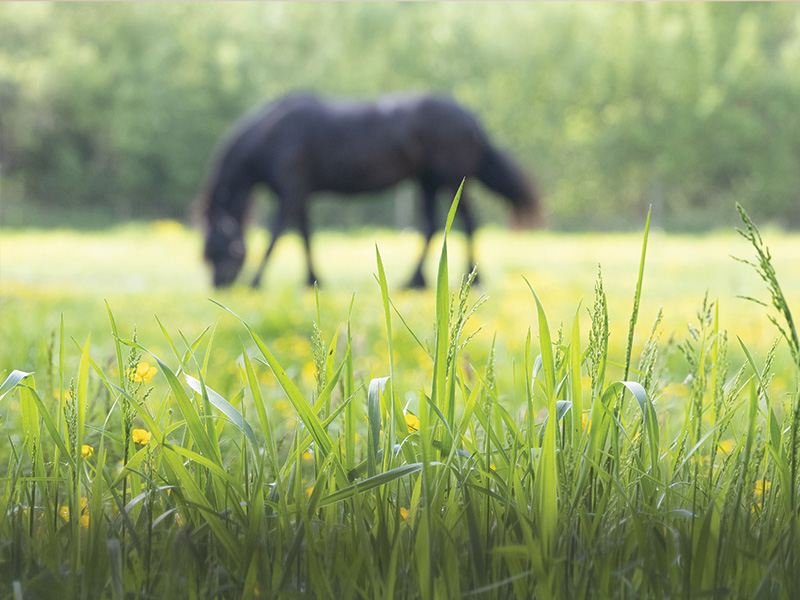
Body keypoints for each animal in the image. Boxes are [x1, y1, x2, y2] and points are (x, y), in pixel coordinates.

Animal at [198, 92, 544, 290]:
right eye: (206, 254)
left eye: (218, 249)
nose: (218, 285)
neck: (273, 135)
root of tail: (469, 116)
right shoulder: (303, 196)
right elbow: (305, 237)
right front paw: (313, 280)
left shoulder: (291, 191)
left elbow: (276, 236)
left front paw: (256, 281)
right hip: (427, 182)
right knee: (432, 227)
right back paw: (415, 282)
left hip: (450, 180)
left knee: (468, 222)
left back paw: (474, 278)